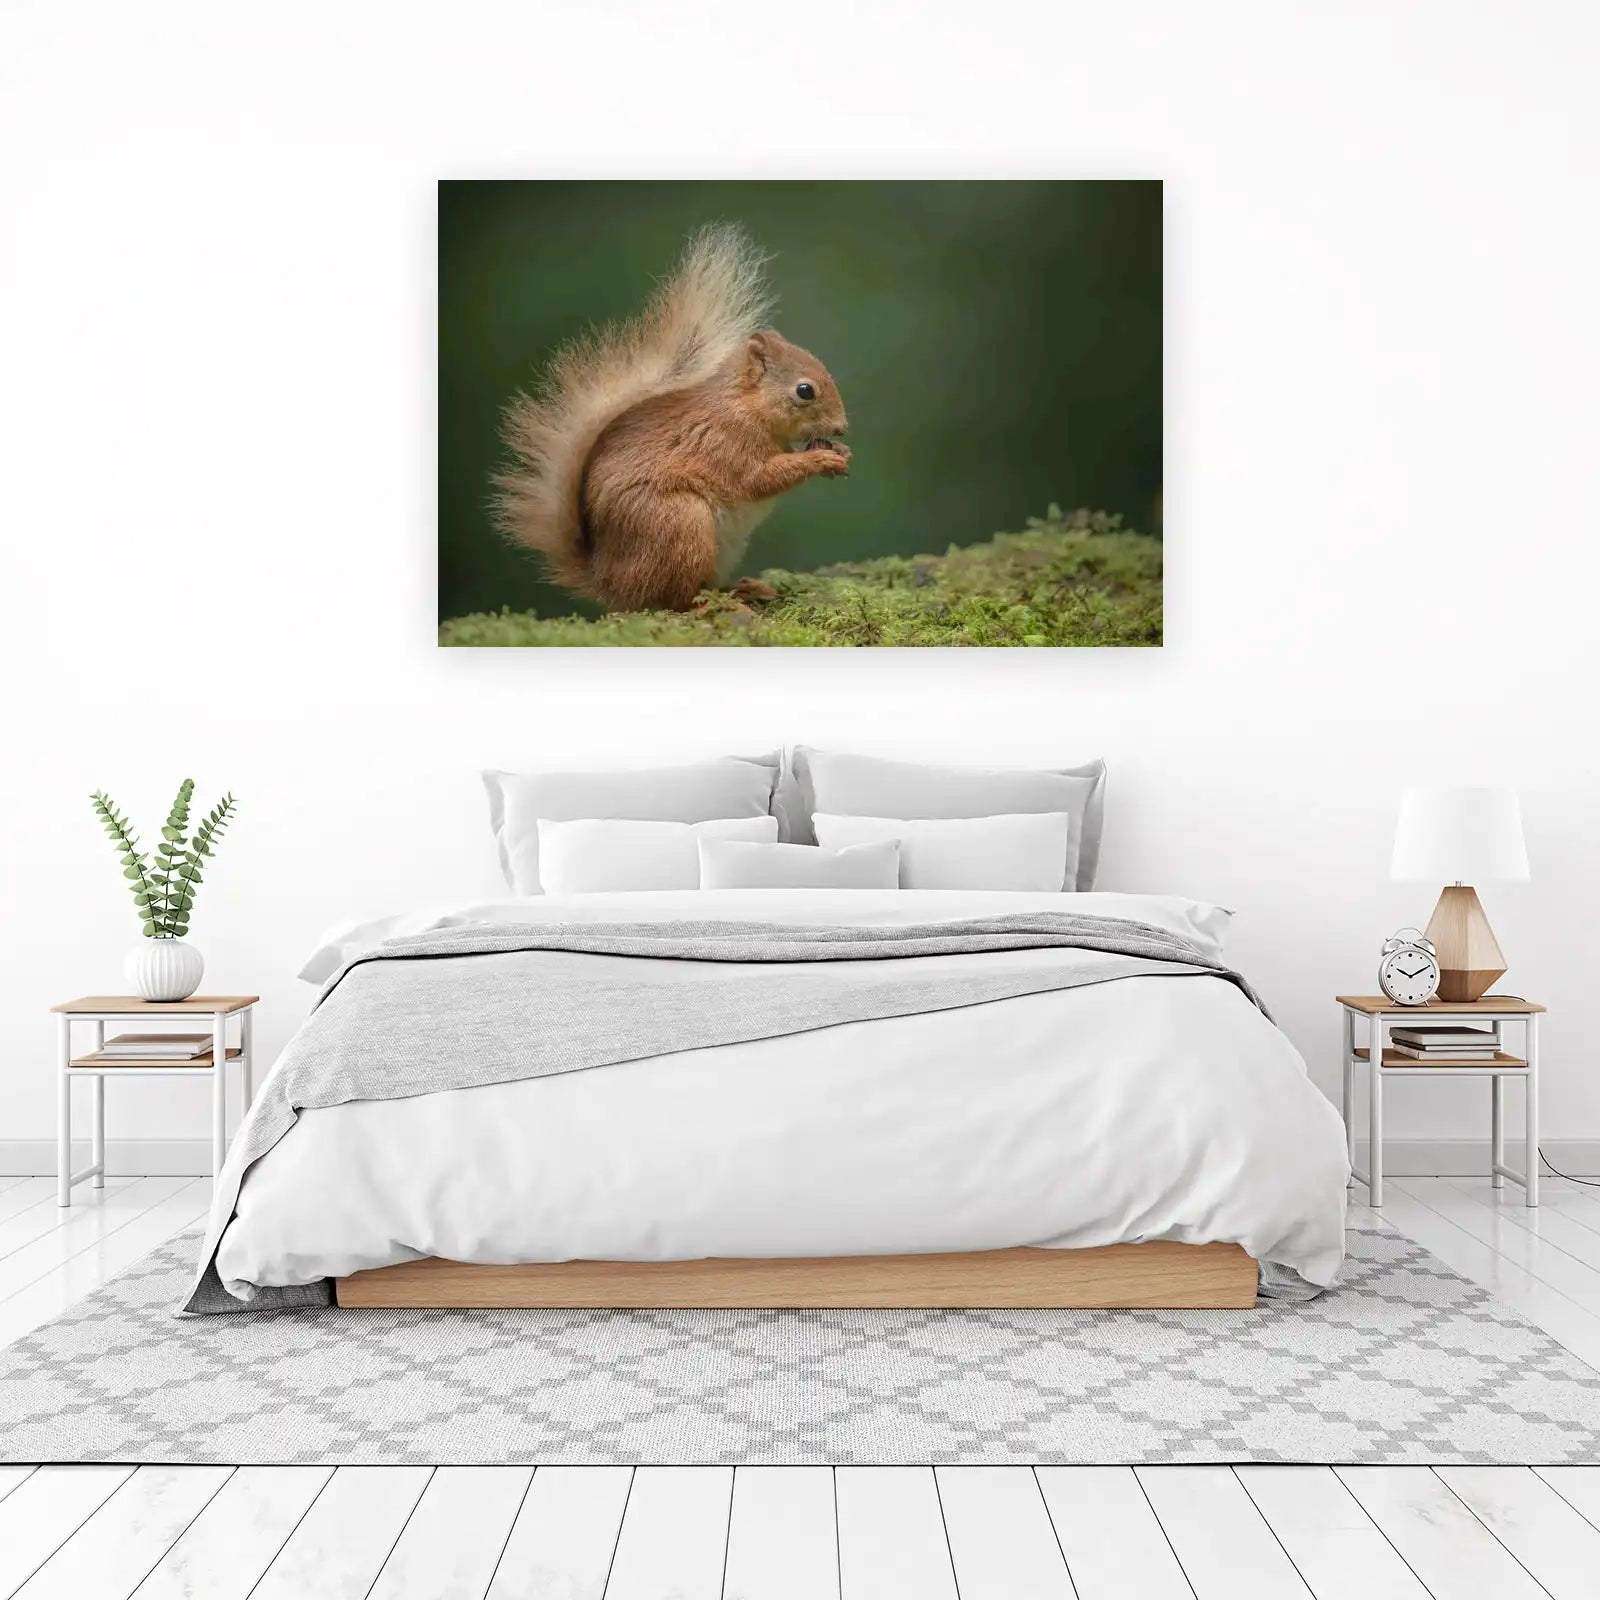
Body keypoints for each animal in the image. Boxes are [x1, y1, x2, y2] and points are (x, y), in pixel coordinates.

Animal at [493, 224, 850, 613]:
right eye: (805, 391)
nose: (842, 428)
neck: (747, 405)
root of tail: (609, 583)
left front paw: (840, 454)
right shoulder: (725, 440)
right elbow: (756, 478)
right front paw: (820, 458)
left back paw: (742, 589)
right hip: (680, 523)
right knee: (671, 600)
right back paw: (710, 605)